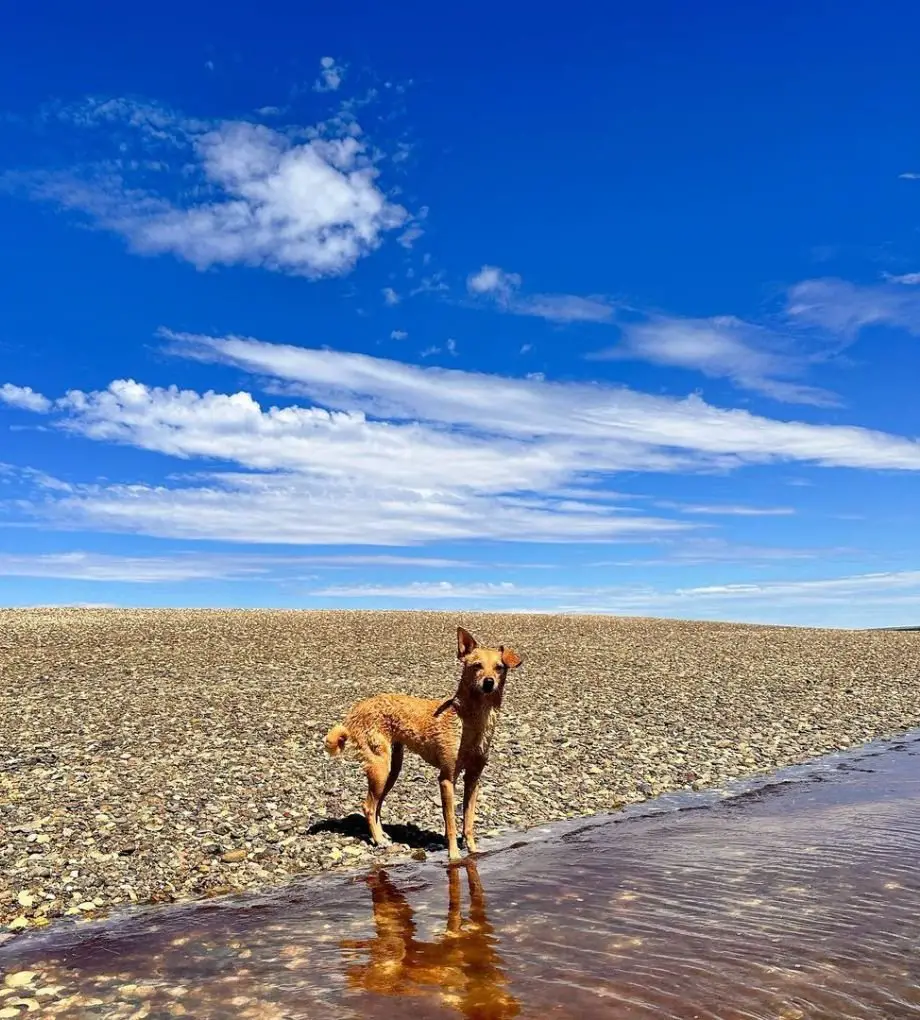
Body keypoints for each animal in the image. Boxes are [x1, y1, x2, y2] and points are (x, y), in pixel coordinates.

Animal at [326, 624, 526, 856]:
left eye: (499, 667)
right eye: (477, 666)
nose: (488, 682)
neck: (470, 720)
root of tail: (357, 708)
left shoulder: (473, 779)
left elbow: (468, 823)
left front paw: (474, 853)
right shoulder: (447, 779)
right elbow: (451, 824)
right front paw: (454, 856)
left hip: (392, 768)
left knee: (377, 805)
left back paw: (382, 833)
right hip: (380, 766)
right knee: (368, 806)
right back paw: (379, 840)